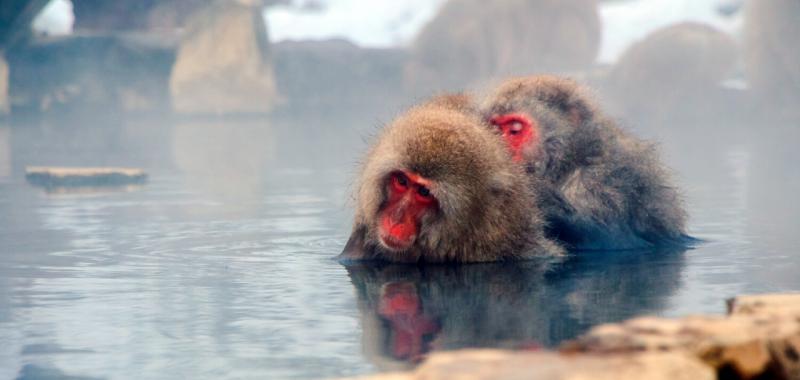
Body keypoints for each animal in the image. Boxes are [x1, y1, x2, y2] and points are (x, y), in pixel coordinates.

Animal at [478, 76, 692, 251]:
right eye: (495, 129)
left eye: (514, 130)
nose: (499, 150)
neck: (568, 160)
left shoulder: (601, 179)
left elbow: (610, 239)